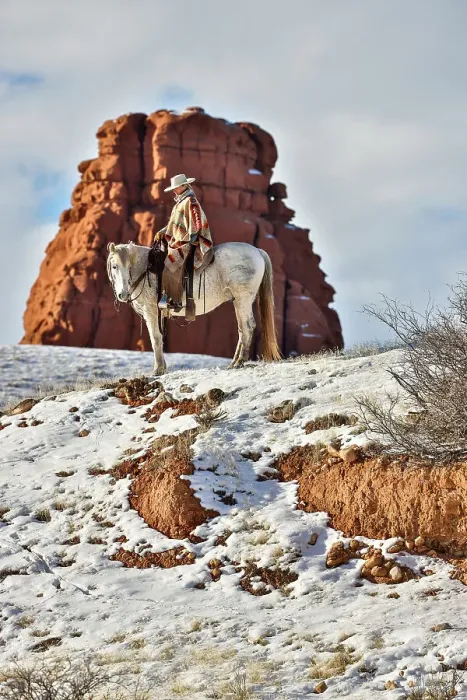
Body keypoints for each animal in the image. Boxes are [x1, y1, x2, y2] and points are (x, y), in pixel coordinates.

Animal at [106, 241, 281, 375]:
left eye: (126, 266)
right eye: (114, 266)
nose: (123, 294)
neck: (146, 269)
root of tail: (257, 251)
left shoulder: (151, 311)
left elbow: (155, 338)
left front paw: (158, 370)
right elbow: (159, 338)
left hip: (243, 299)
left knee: (247, 327)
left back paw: (240, 362)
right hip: (238, 302)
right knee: (242, 329)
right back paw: (234, 363)